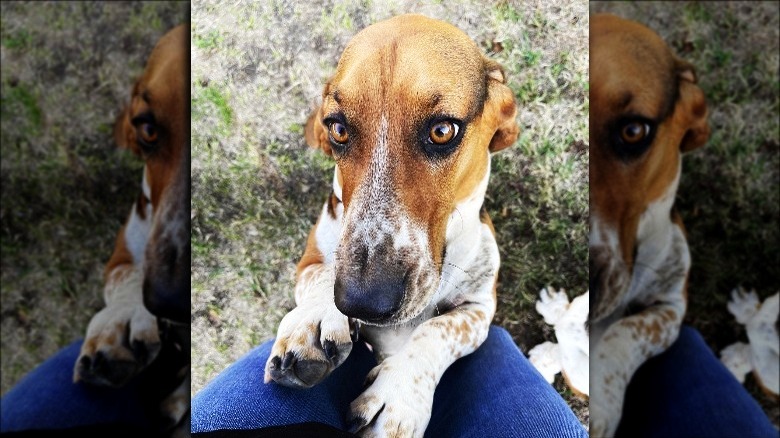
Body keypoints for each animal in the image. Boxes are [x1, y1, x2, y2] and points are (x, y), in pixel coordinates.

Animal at [262, 13, 516, 438]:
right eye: (337, 129)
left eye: (443, 130)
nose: (362, 301)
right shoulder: (309, 262)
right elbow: (320, 276)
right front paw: (313, 321)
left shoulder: (480, 308)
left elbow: (436, 331)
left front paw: (397, 395)